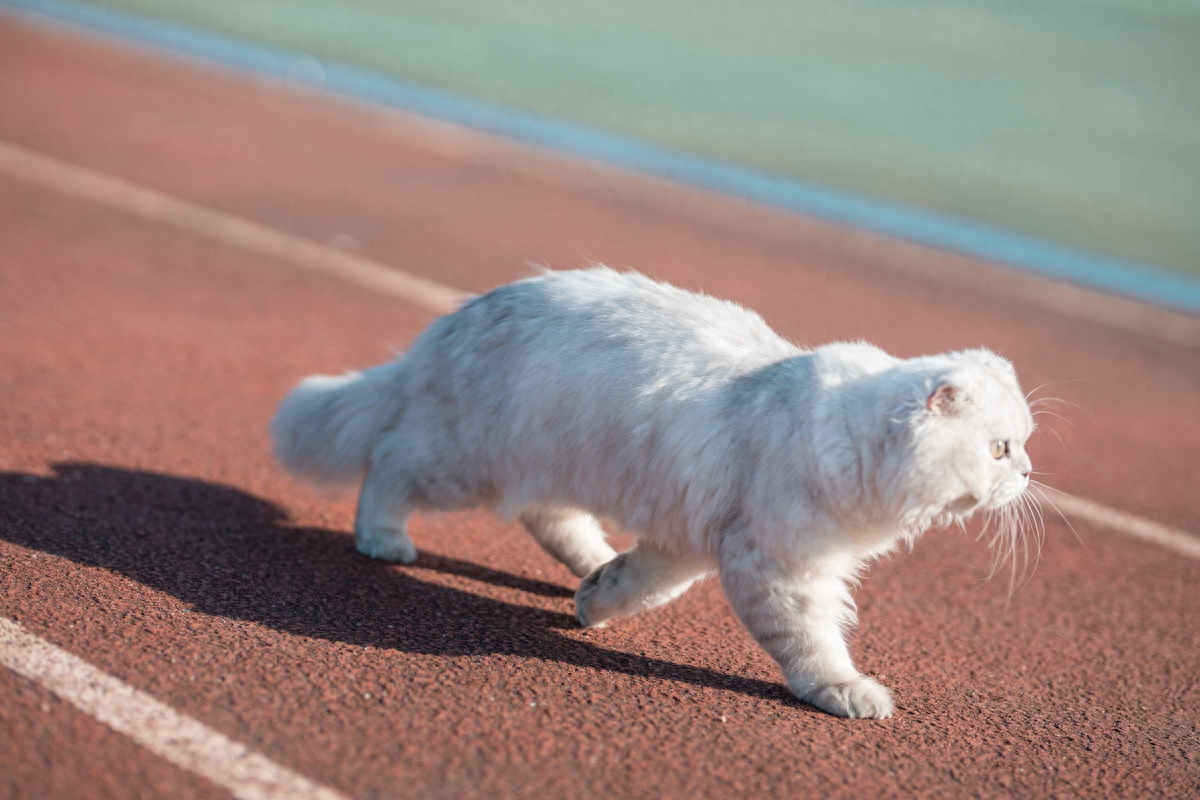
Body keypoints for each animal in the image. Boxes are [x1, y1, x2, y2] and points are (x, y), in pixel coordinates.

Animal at [270, 267, 1032, 719]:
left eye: (1023, 442)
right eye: (1000, 448)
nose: (1027, 474)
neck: (846, 434)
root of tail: (451, 321)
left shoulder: (690, 542)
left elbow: (641, 586)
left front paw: (594, 602)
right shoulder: (776, 566)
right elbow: (812, 645)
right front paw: (846, 691)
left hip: (544, 462)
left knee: (551, 519)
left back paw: (585, 568)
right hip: (458, 460)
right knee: (386, 460)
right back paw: (383, 538)